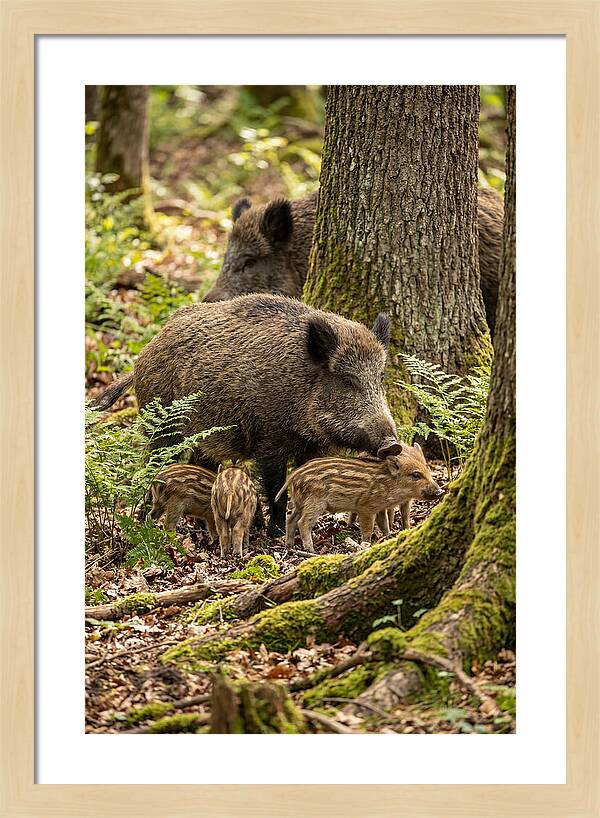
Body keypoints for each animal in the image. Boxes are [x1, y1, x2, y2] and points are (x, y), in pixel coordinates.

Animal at [90, 294, 400, 537]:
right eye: (347, 380)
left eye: (380, 378)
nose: (392, 445)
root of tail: (144, 353)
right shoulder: (269, 439)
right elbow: (276, 488)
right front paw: (275, 534)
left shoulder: (313, 448)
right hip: (163, 425)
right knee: (153, 464)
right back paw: (144, 520)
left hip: (204, 434)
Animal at [276, 445, 443, 552]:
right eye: (415, 475)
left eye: (427, 470)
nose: (440, 492)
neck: (388, 483)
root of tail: (294, 476)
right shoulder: (366, 508)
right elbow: (368, 529)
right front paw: (366, 544)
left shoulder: (380, 508)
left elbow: (384, 524)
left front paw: (388, 537)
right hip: (315, 502)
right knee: (303, 522)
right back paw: (311, 550)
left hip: (300, 502)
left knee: (290, 519)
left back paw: (289, 546)